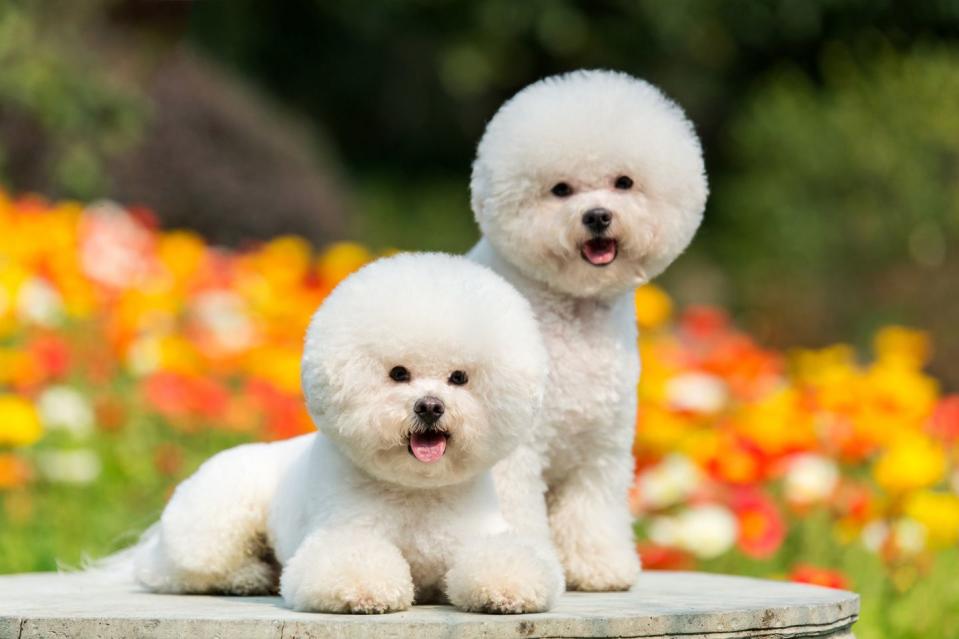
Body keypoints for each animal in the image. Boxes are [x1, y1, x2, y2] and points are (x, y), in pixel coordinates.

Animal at [137, 252, 568, 612]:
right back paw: (245, 577)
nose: (430, 406)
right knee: (178, 571)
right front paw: (365, 591)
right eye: (398, 373)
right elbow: (351, 561)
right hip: (213, 523)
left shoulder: (475, 536)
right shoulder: (344, 532)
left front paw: (504, 589)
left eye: (459, 377)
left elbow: (502, 558)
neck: (416, 491)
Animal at [468, 69, 708, 592]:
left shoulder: (600, 449)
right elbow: (515, 512)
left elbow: (593, 512)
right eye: (560, 190)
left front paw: (600, 567)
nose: (597, 216)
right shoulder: (515, 453)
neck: (573, 314)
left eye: (624, 183)